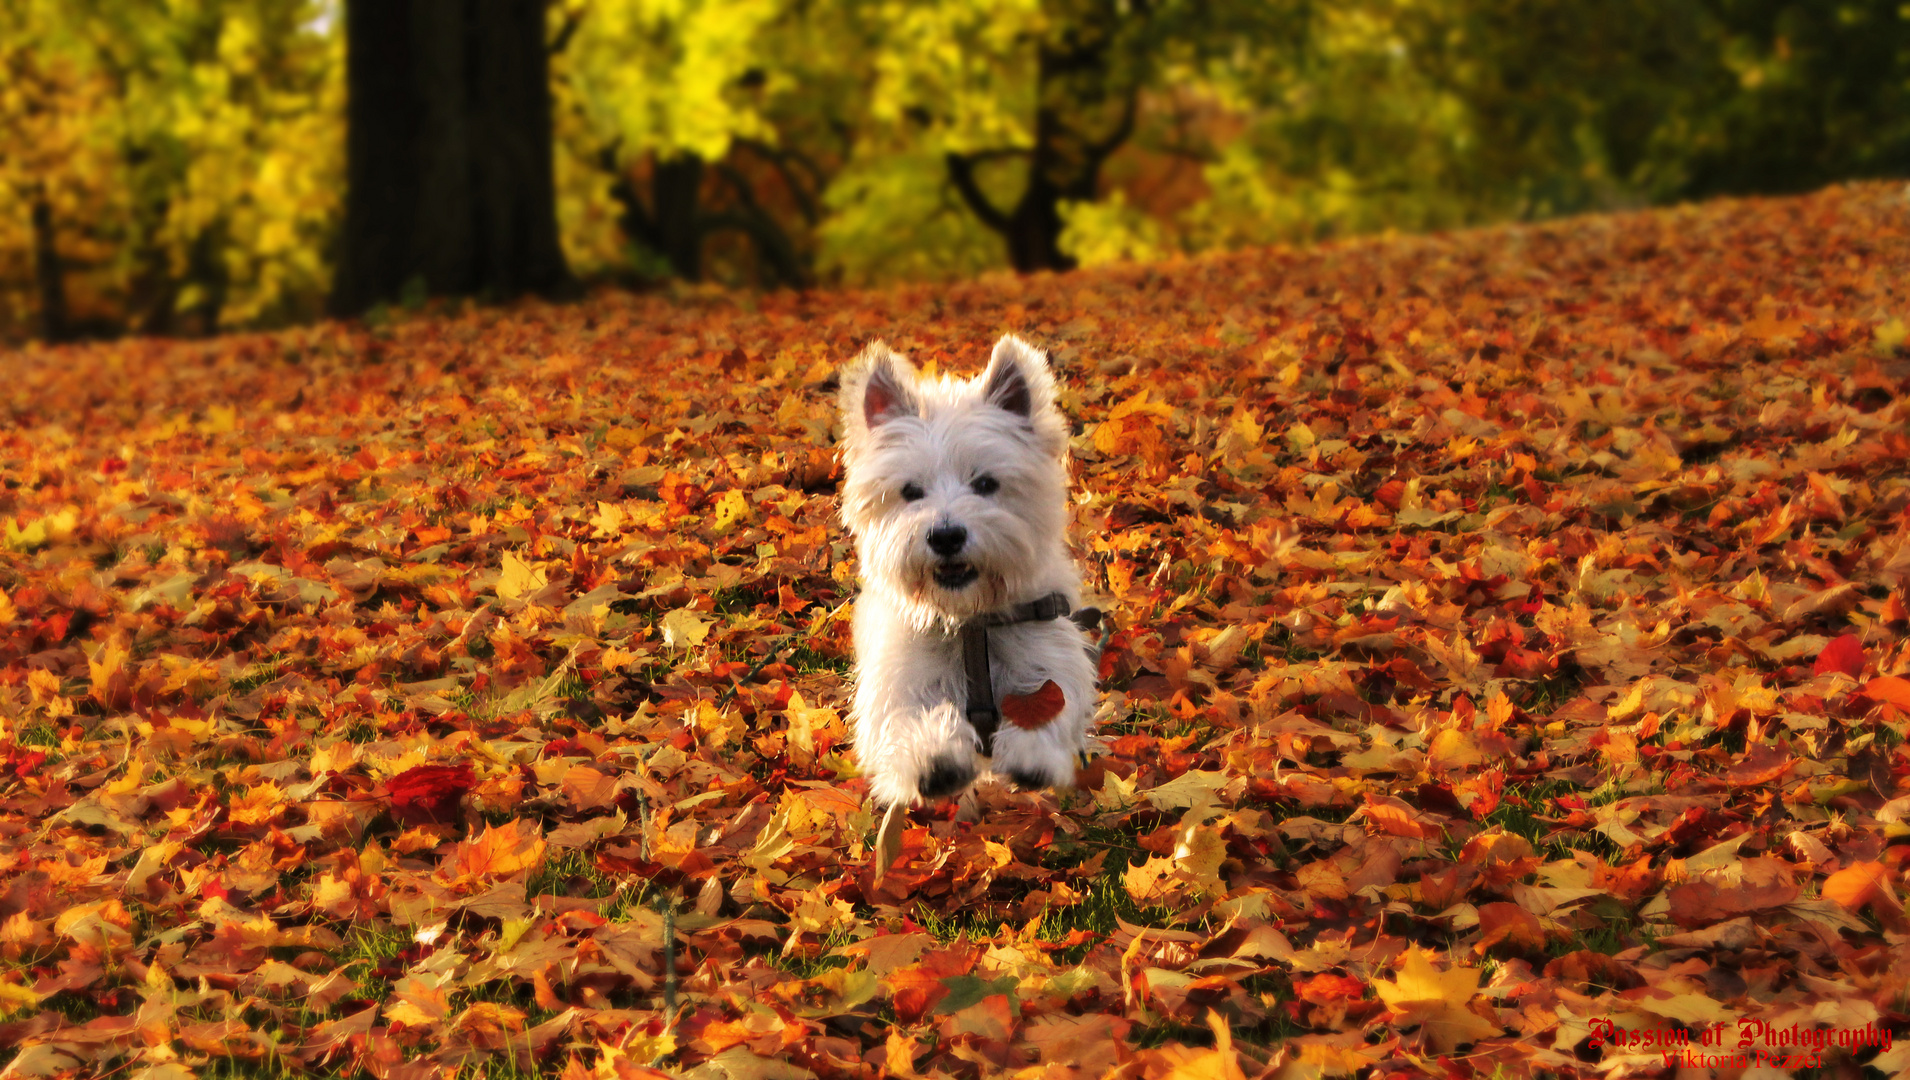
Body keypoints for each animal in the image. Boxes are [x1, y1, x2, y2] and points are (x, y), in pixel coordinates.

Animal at [840, 332, 1100, 802]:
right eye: (910, 491)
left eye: (985, 484)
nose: (945, 536)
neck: (969, 622)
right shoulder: (899, 684)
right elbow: (902, 722)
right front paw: (933, 759)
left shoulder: (1046, 661)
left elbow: (1054, 707)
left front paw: (1033, 755)